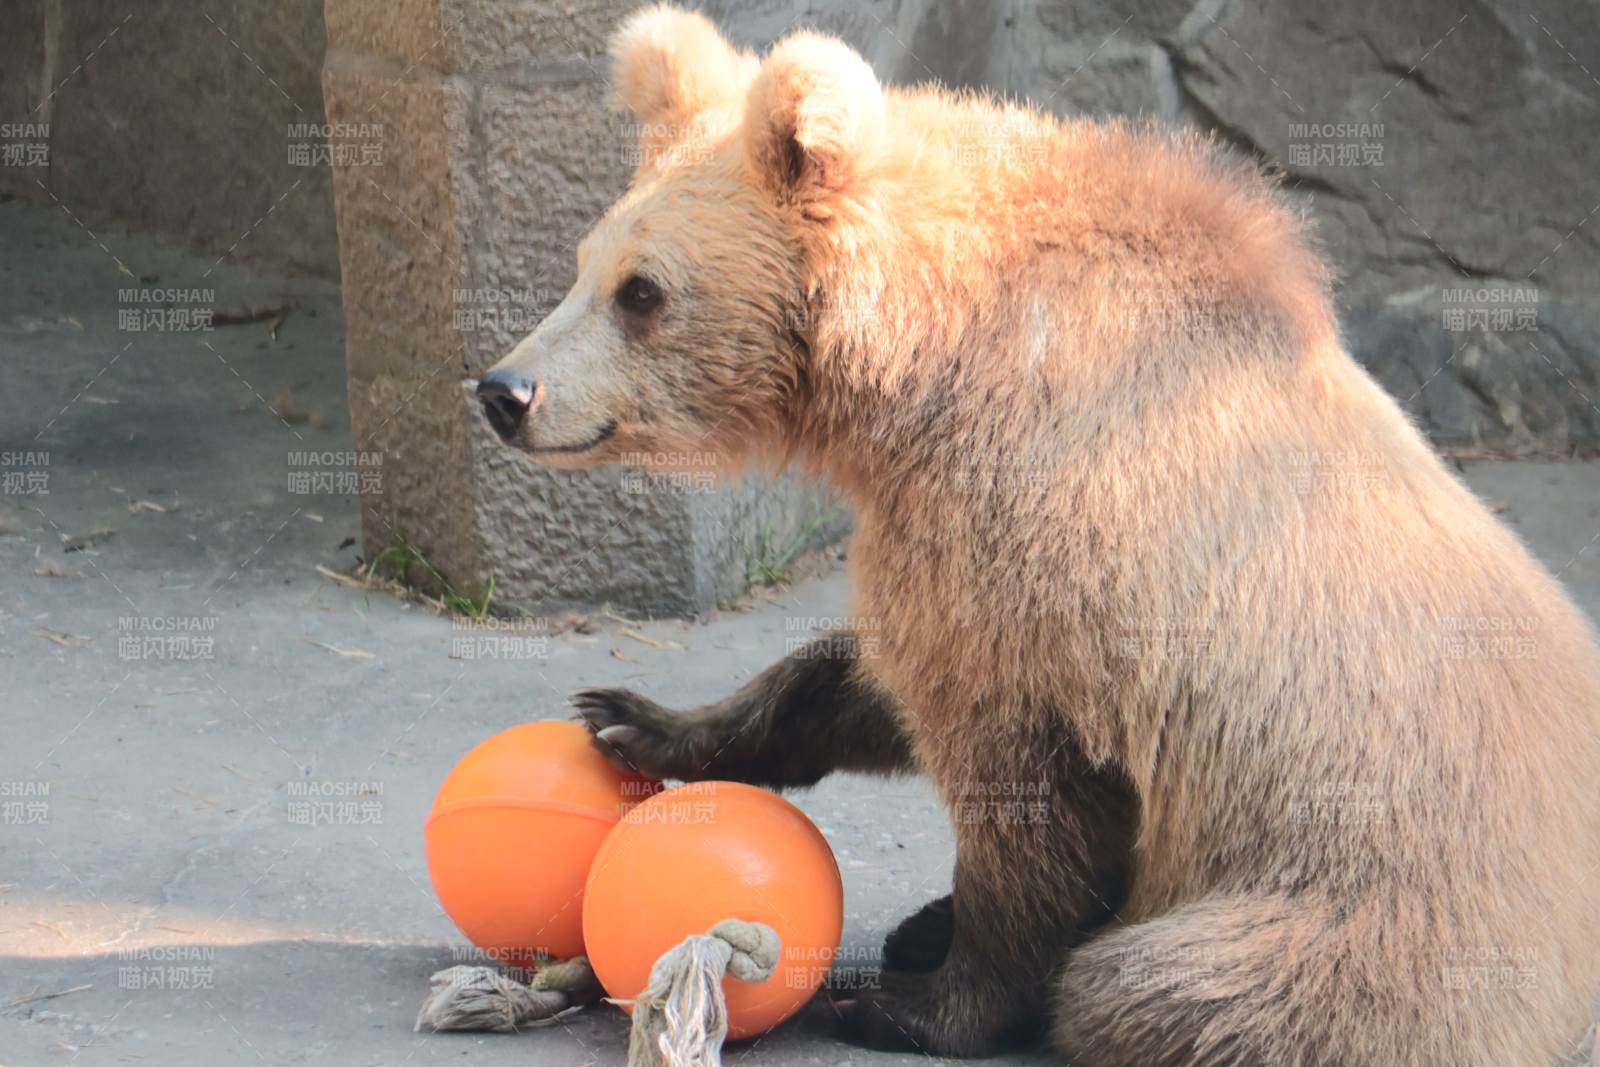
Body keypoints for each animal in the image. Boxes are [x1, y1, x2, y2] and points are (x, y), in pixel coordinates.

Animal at [472, 6, 1600, 1065]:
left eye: (643, 291)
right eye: (583, 263)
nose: (504, 390)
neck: (927, 360)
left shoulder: (1035, 531)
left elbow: (1011, 776)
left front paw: (911, 1004)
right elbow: (857, 676)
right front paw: (632, 716)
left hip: (1362, 921)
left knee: (1159, 985)